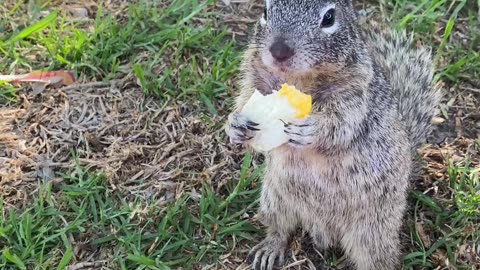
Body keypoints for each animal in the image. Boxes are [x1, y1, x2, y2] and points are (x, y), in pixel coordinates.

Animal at [226, 0, 442, 270]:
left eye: (329, 18)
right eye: (265, 12)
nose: (279, 51)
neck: (298, 80)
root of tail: (324, 228)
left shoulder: (356, 92)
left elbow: (342, 123)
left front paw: (314, 128)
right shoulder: (255, 75)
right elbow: (246, 97)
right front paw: (235, 123)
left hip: (373, 230)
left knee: (378, 258)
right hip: (274, 200)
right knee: (280, 228)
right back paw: (269, 248)